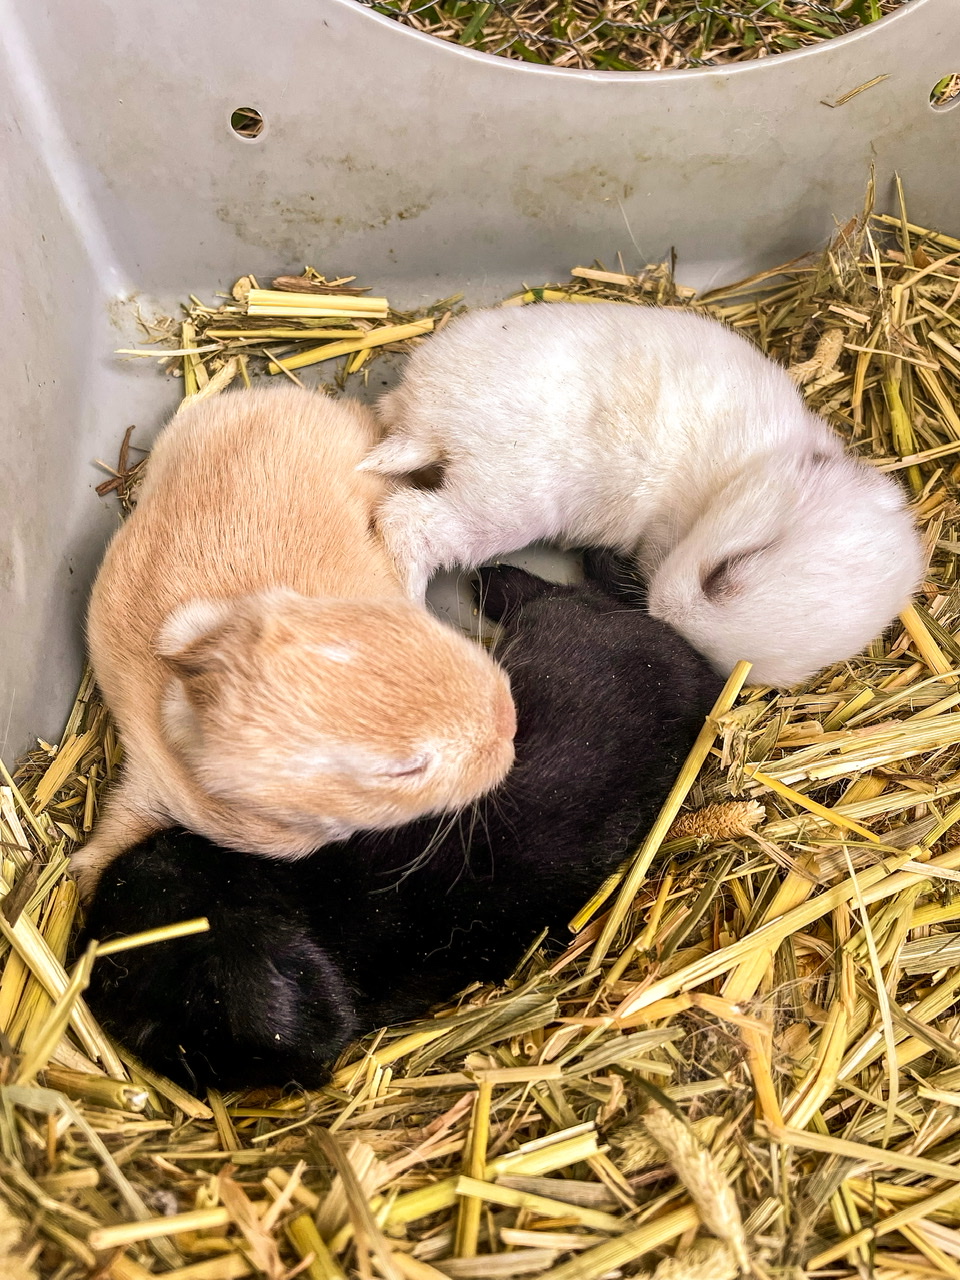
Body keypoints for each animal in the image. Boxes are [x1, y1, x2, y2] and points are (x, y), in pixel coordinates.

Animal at [361, 302, 924, 687]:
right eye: (728, 570)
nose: (660, 609)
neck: (745, 469)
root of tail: (428, 428)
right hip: (501, 504)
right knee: (408, 523)